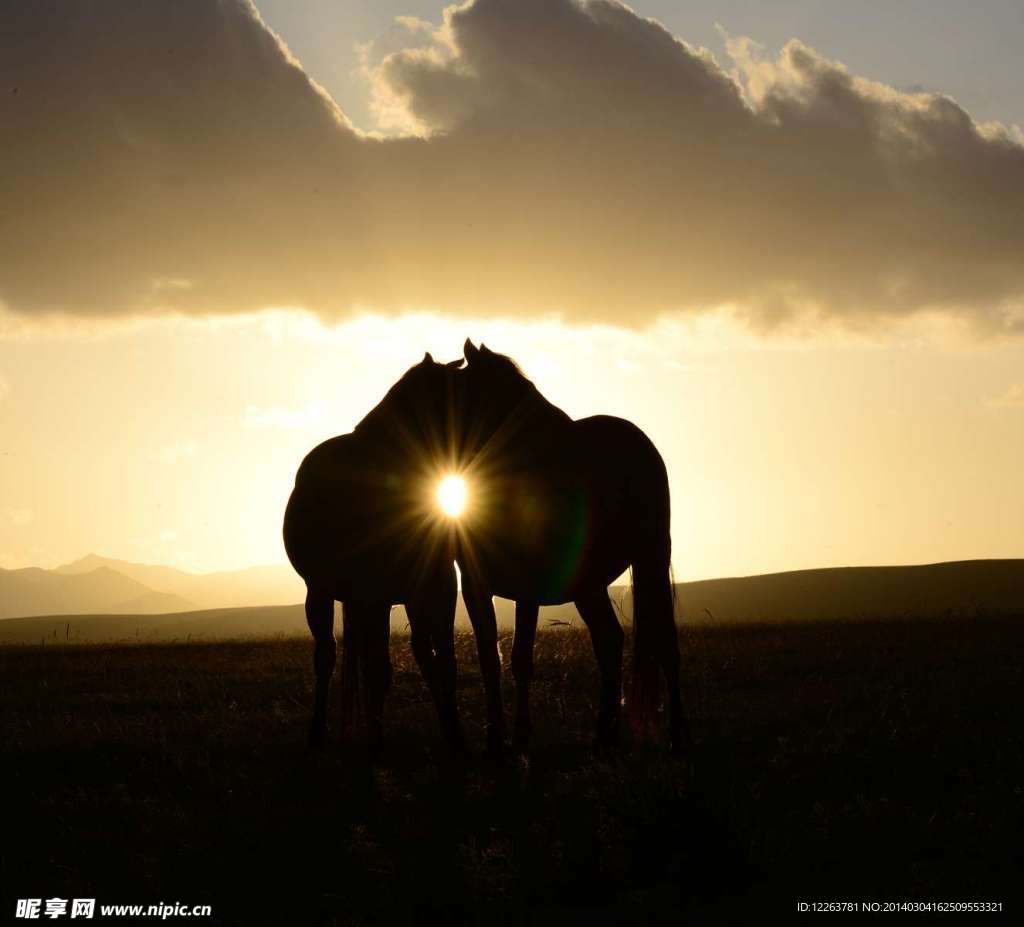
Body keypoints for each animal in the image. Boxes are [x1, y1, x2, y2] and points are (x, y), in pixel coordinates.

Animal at [283, 352, 466, 755]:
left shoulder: (436, 588)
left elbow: (441, 660)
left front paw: (453, 732)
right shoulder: (373, 595)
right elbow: (379, 668)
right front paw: (377, 743)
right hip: (323, 593)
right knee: (329, 656)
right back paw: (321, 732)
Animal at [452, 340, 689, 756]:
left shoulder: (528, 588)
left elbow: (521, 658)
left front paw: (521, 736)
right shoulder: (476, 586)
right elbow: (487, 658)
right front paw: (496, 736)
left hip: (652, 561)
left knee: (664, 645)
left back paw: (676, 735)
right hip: (588, 584)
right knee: (610, 642)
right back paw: (605, 735)